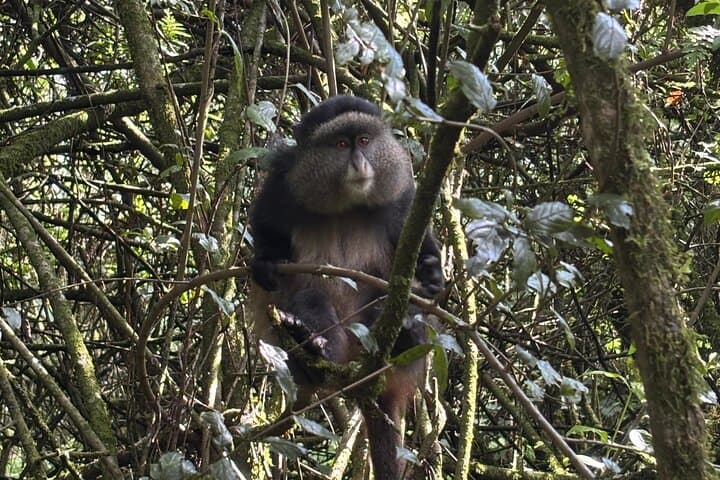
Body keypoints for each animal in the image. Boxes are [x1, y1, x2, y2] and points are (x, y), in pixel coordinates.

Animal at [248, 95, 444, 479]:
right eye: (341, 144)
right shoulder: (280, 184)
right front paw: (264, 263)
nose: (359, 162)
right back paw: (312, 347)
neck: (345, 205)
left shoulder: (406, 199)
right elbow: (266, 234)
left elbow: (421, 260)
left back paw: (404, 333)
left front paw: (431, 274)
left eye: (364, 141)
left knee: (391, 304)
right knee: (309, 300)